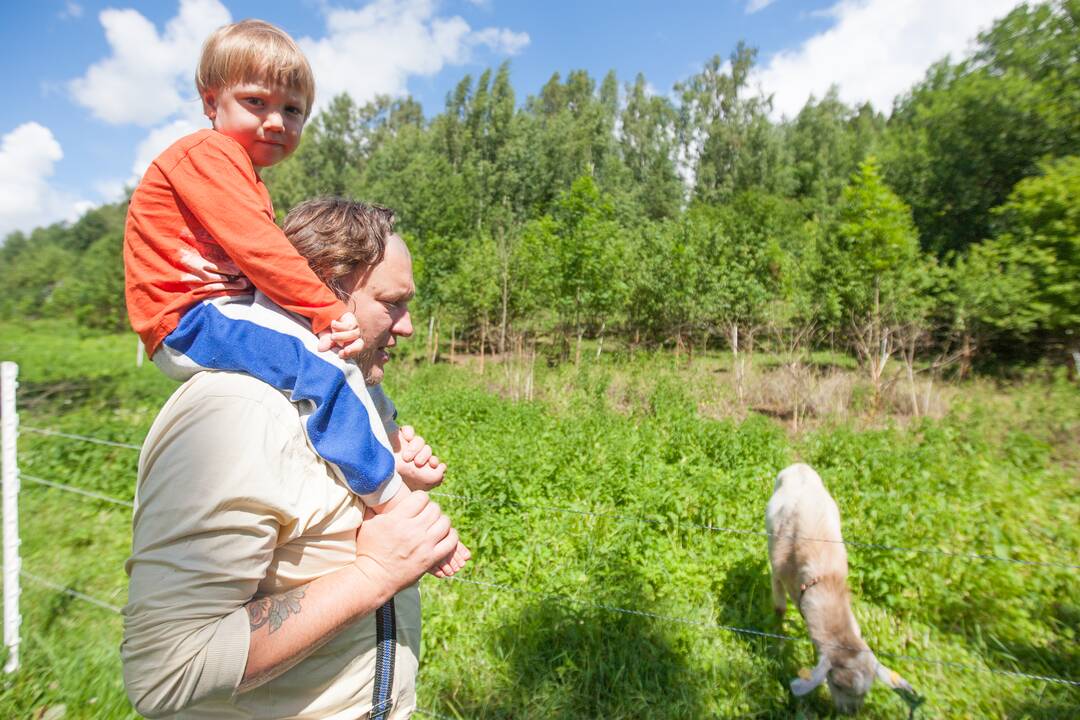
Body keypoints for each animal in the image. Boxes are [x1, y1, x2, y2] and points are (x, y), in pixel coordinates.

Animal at [764, 464, 915, 712]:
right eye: (837, 684)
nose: (850, 713)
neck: (824, 579)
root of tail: (800, 466)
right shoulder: (777, 574)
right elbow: (779, 610)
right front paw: (777, 642)